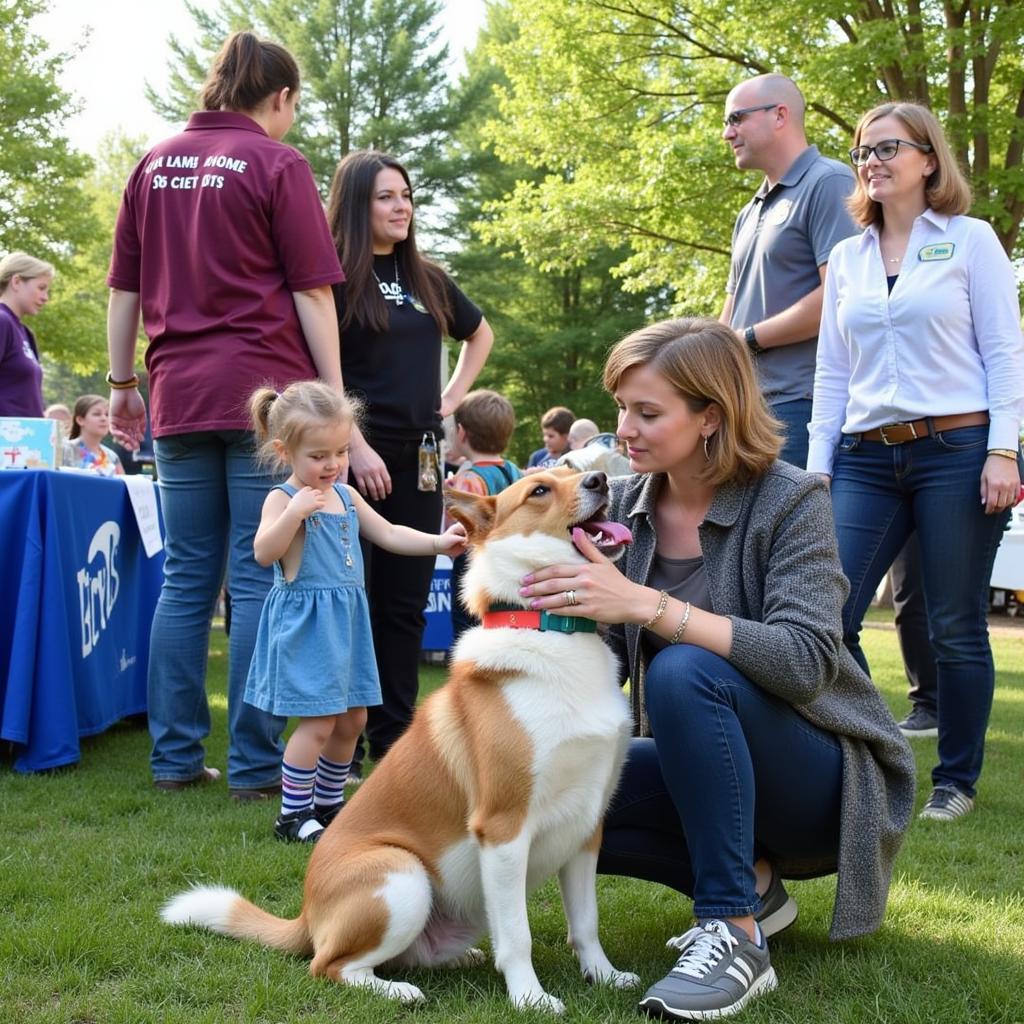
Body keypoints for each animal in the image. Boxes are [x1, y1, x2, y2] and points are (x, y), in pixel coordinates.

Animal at [162, 468, 634, 1011]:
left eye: (573, 470)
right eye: (539, 490)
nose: (600, 478)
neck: (552, 631)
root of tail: (306, 918)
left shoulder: (587, 825)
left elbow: (586, 922)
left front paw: (604, 976)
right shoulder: (503, 827)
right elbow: (518, 935)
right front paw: (530, 999)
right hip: (402, 875)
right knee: (328, 966)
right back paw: (397, 991)